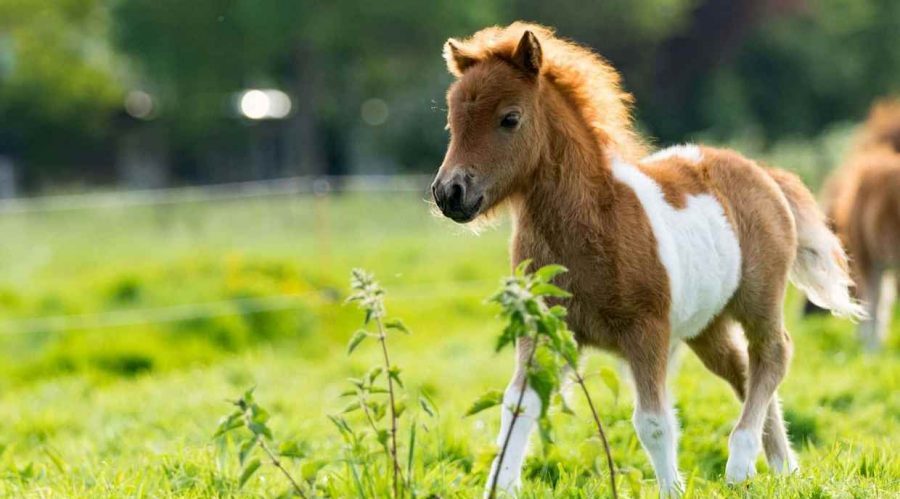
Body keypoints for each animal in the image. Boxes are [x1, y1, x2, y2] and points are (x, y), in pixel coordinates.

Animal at [430, 23, 864, 496]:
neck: (595, 221)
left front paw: (672, 488)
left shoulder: (647, 332)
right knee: (742, 370)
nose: (450, 193)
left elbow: (654, 423)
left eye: (509, 118)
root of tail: (763, 172)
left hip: (758, 300)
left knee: (772, 355)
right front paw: (500, 486)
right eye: (452, 120)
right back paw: (784, 468)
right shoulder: (545, 327)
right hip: (707, 326)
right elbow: (520, 405)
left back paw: (740, 462)